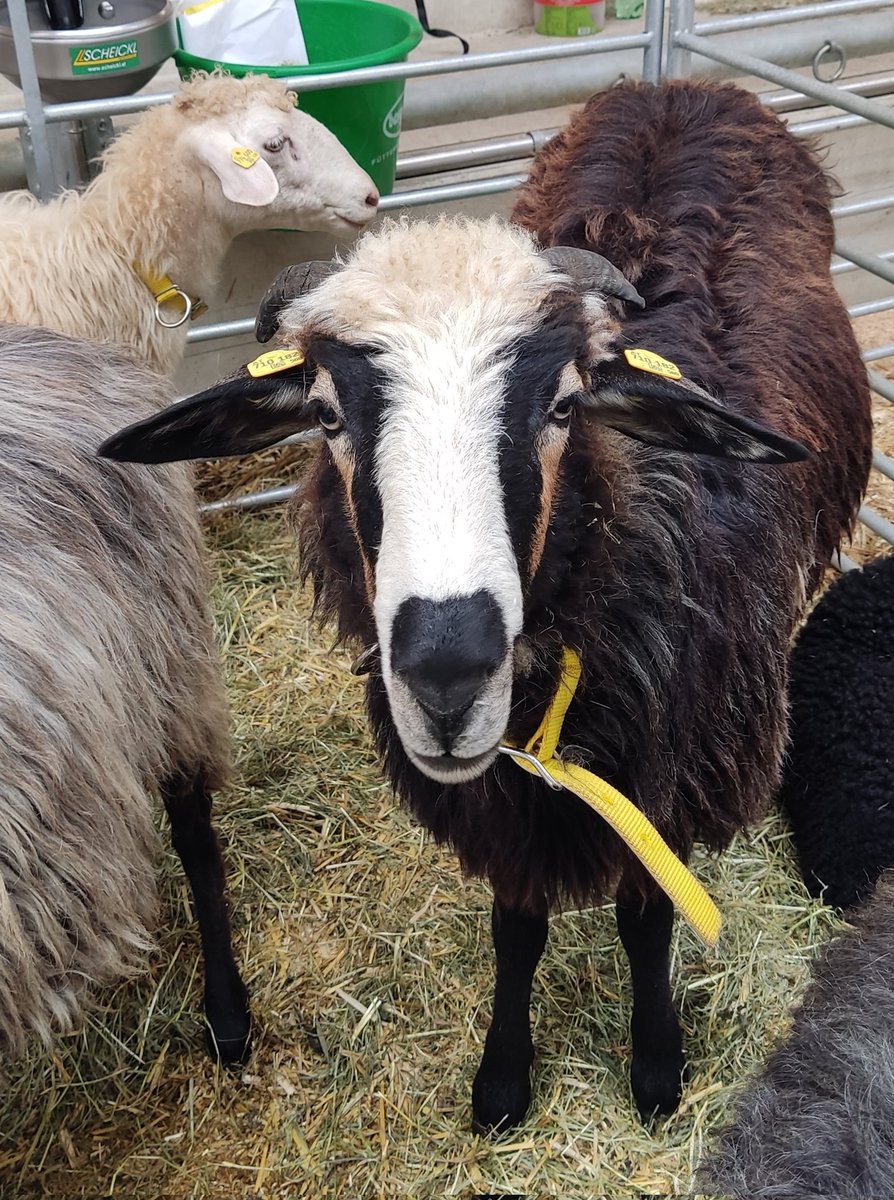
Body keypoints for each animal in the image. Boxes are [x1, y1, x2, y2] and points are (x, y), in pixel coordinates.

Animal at [98, 79, 872, 1131]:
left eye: (564, 404)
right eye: (327, 413)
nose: (447, 677)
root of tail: (681, 84)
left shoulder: (669, 763)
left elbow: (647, 918)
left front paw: (656, 1067)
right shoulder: (504, 798)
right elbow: (517, 926)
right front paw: (503, 1080)